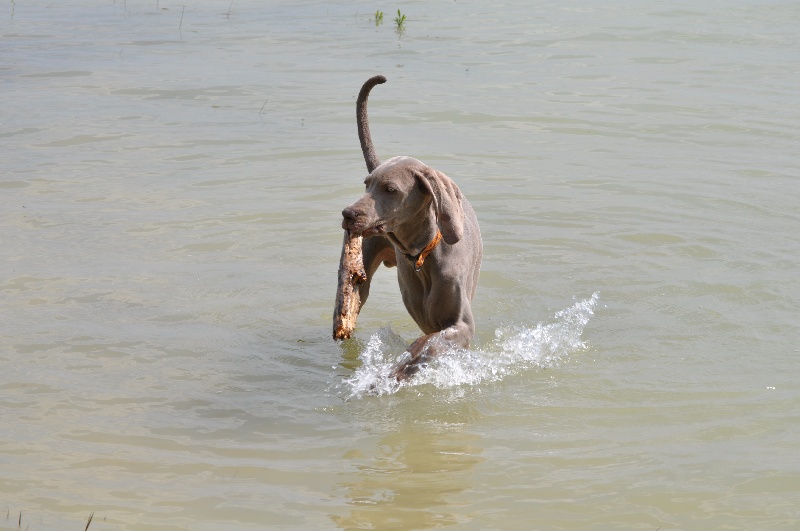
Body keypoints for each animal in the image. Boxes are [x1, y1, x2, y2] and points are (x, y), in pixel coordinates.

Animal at [338, 76, 482, 382]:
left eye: (391, 189)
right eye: (367, 184)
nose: (348, 214)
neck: (422, 255)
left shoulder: (463, 325)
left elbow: (431, 343)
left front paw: (408, 360)